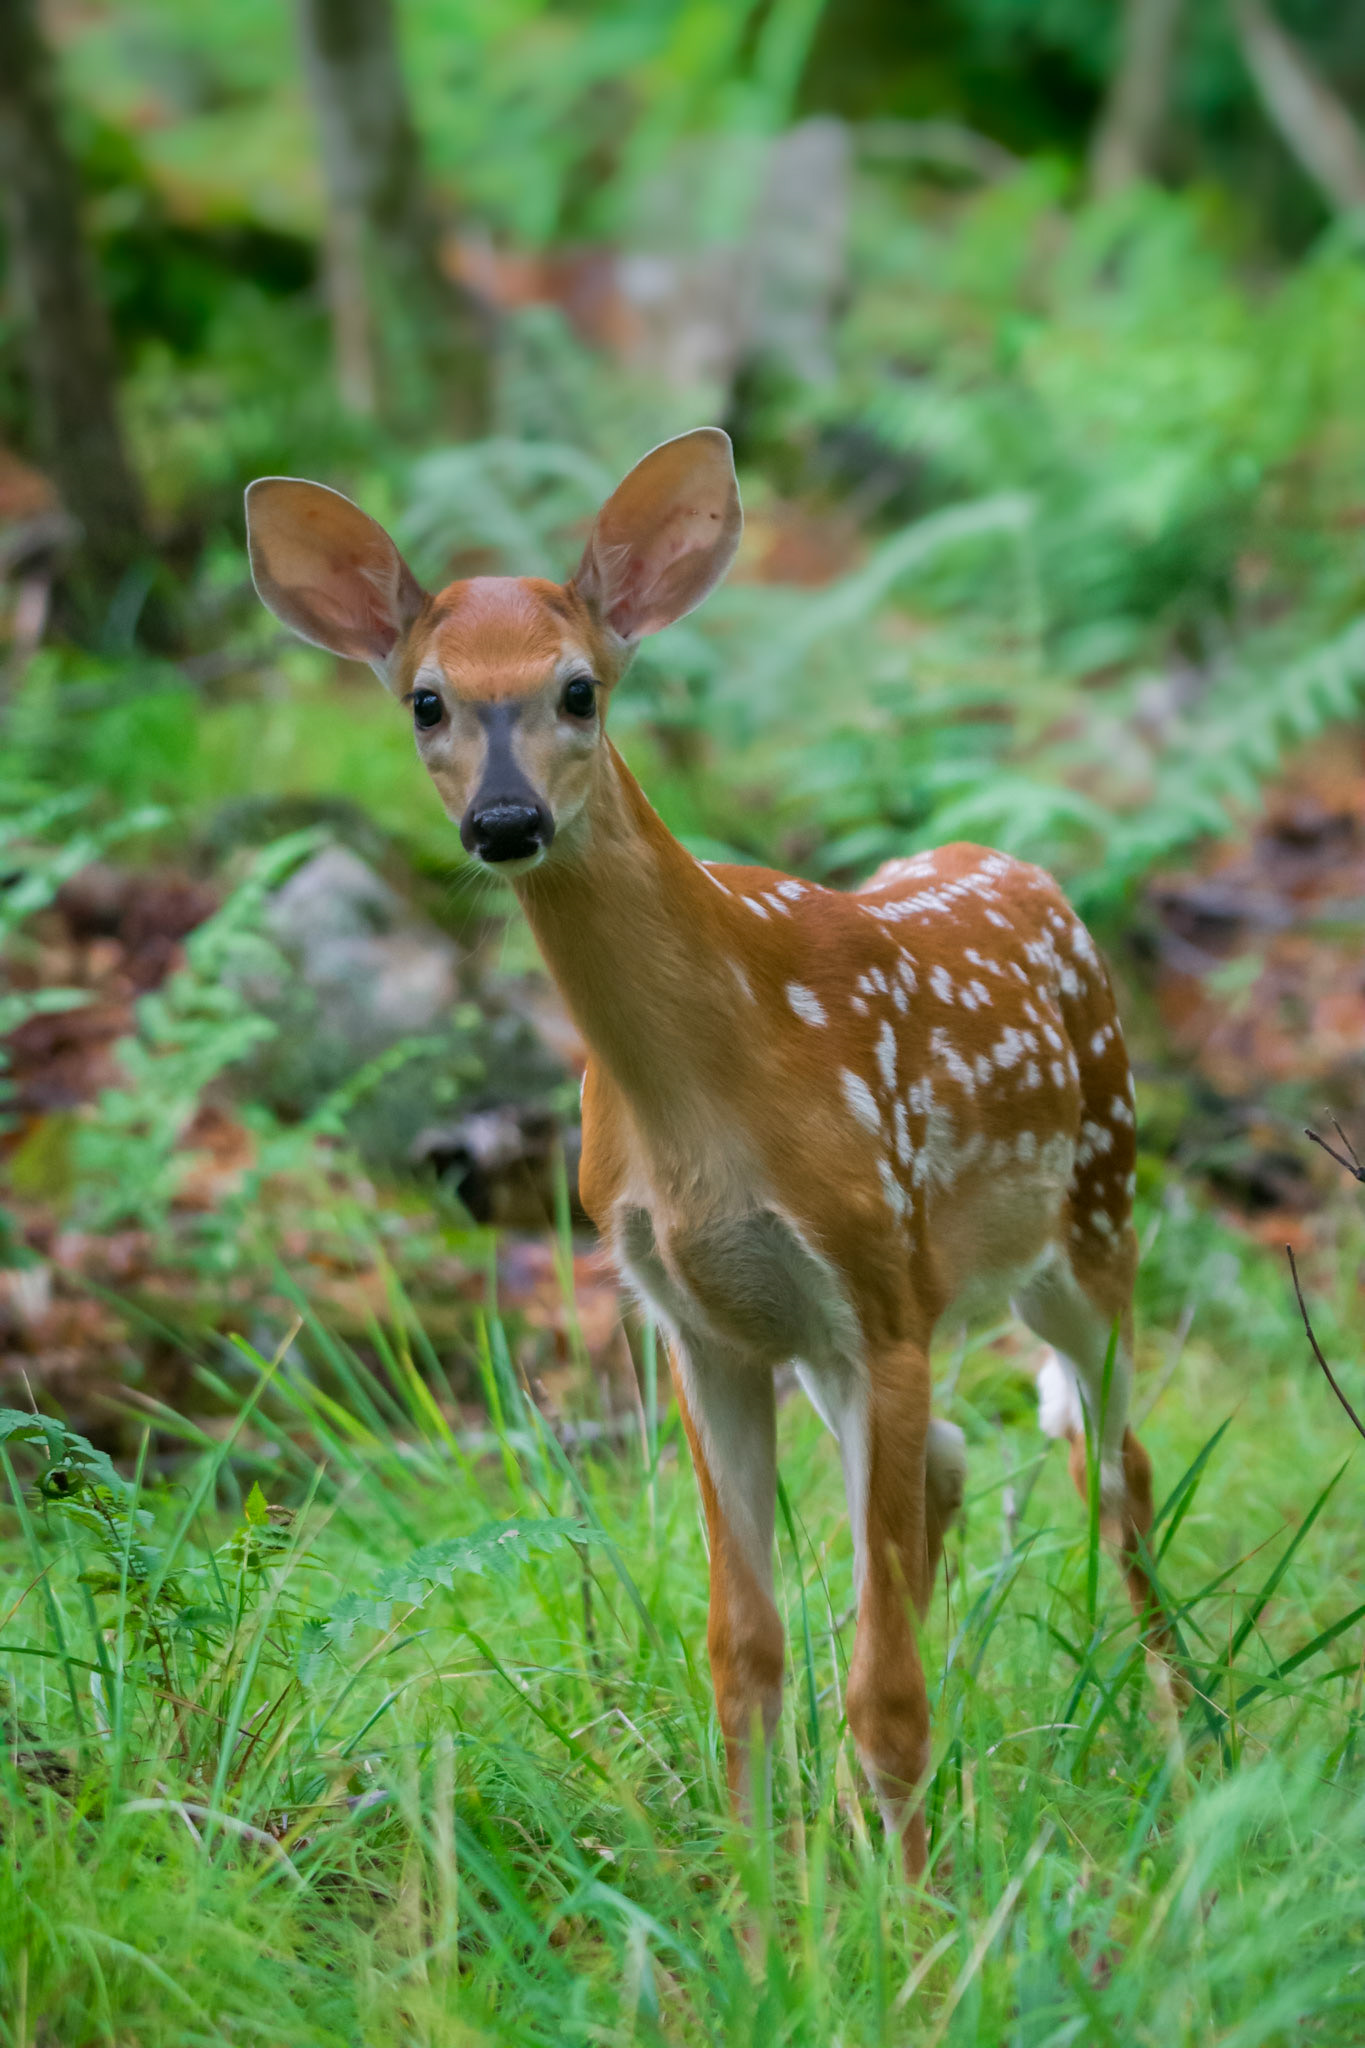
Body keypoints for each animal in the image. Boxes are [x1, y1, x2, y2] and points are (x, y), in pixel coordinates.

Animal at [245, 428, 1166, 1880]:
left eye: (578, 689)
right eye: (425, 703)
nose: (504, 821)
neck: (705, 1099)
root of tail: (1028, 871)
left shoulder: (878, 1281)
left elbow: (886, 1681)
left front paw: (911, 1913)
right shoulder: (694, 1318)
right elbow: (747, 1645)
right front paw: (760, 1888)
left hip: (1091, 1218)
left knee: (1116, 1469)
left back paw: (1192, 1754)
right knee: (954, 1466)